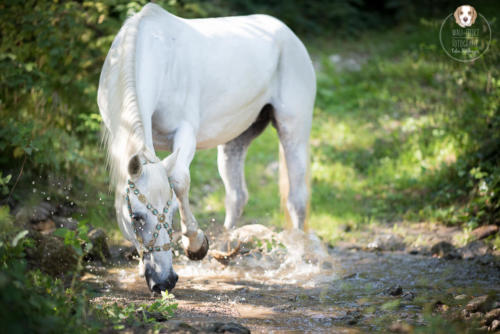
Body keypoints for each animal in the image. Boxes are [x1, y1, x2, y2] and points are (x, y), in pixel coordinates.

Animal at [97, 3, 314, 292]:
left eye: (169, 213)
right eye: (137, 218)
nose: (166, 281)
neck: (158, 52)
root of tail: (287, 34)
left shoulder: (185, 132)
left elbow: (179, 180)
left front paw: (196, 245)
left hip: (294, 131)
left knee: (296, 198)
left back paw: (298, 261)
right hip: (236, 140)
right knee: (237, 196)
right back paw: (225, 252)